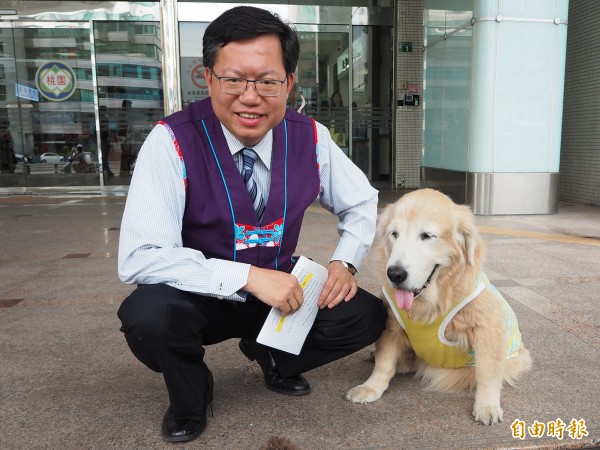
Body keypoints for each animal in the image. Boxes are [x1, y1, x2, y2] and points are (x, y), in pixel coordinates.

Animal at [344, 188, 532, 424]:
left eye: (426, 236)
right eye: (394, 234)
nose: (394, 274)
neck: (430, 302)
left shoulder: (487, 327)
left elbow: (487, 372)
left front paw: (487, 405)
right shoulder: (391, 323)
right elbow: (384, 362)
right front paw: (371, 388)